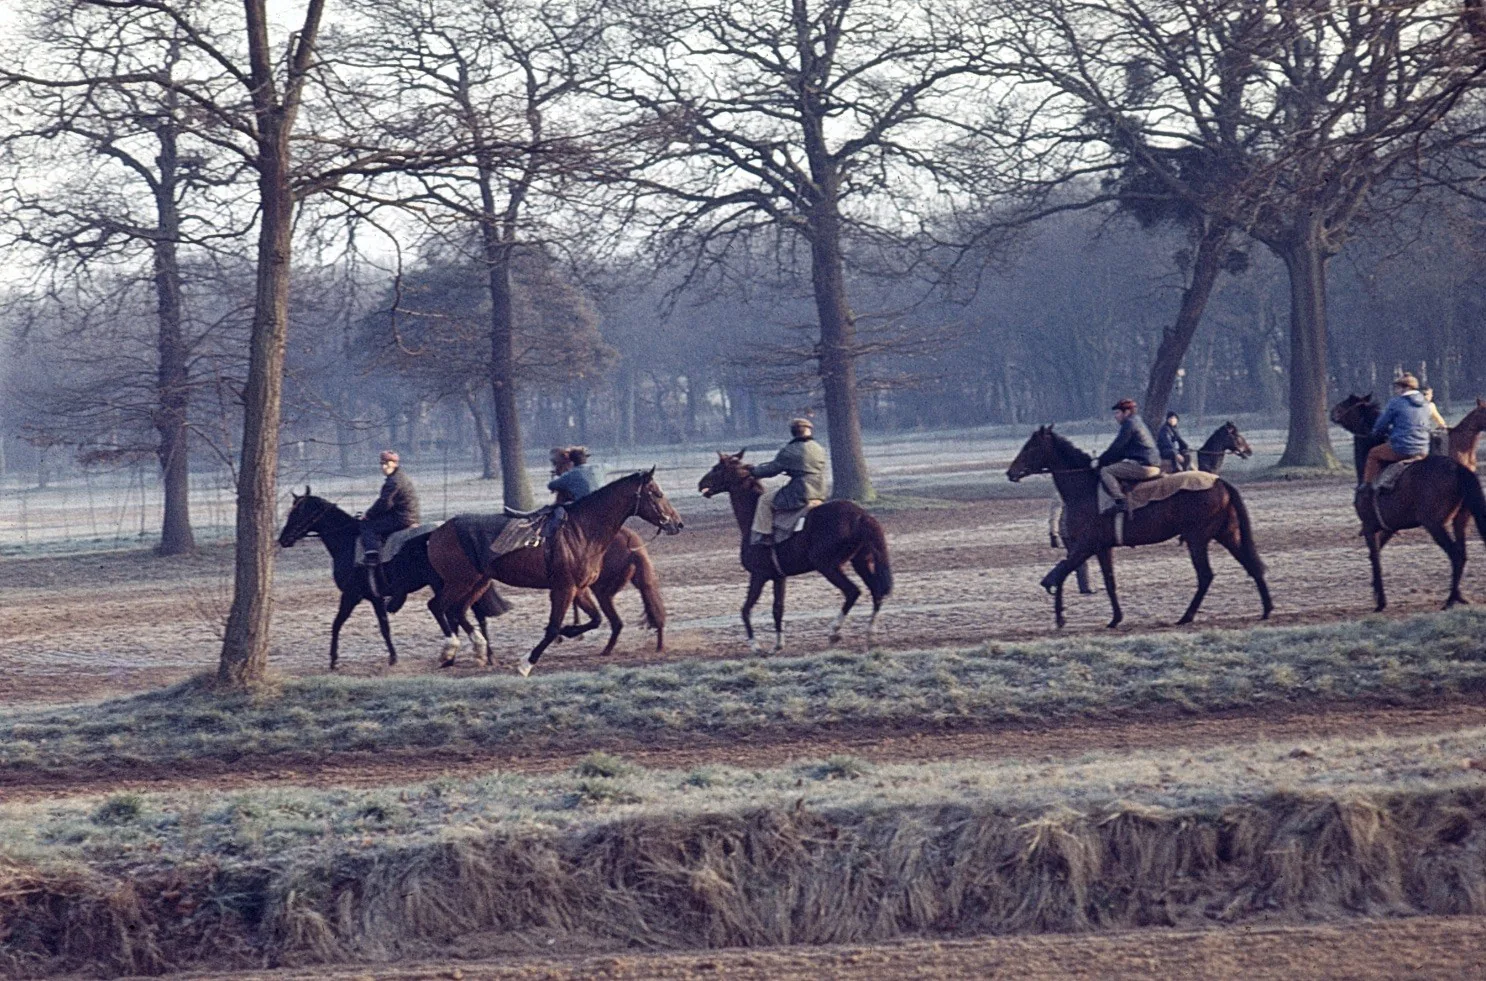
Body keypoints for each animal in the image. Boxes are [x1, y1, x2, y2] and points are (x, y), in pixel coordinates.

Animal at [277, 488, 509, 670]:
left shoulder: (352, 595)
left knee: (456, 613)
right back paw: (481, 655)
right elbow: (384, 626)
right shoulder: (375, 597)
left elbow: (338, 623)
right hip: (452, 585)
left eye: (296, 513)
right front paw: (393, 657)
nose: (282, 539)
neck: (348, 542)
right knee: (467, 613)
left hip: (448, 585)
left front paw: (334, 660)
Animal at [427, 469, 683, 676]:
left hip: (479, 581)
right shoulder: (564, 588)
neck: (581, 531)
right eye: (657, 493)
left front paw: (569, 630)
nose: (677, 523)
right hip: (460, 581)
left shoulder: (579, 588)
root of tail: (437, 533)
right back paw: (449, 649)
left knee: (457, 610)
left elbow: (595, 619)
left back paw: (478, 648)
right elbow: (552, 628)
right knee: (438, 606)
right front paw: (526, 663)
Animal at [697, 451, 893, 655]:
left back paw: (834, 632)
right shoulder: (778, 577)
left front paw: (756, 646)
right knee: (876, 592)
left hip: (828, 566)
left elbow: (746, 609)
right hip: (861, 562)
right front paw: (778, 644)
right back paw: (870, 634)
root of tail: (861, 515)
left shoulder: (759, 575)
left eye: (717, 468)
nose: (701, 484)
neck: (752, 518)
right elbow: (778, 608)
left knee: (853, 592)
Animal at [1331, 396, 1486, 610]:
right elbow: (1375, 554)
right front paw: (1376, 591)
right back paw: (1458, 596)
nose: (1333, 412)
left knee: (1455, 554)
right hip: (1460, 519)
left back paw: (1450, 600)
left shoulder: (1370, 527)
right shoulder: (1389, 528)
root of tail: (1457, 468)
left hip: (1434, 525)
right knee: (1462, 554)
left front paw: (1381, 601)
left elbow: (1376, 559)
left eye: (1348, 403)